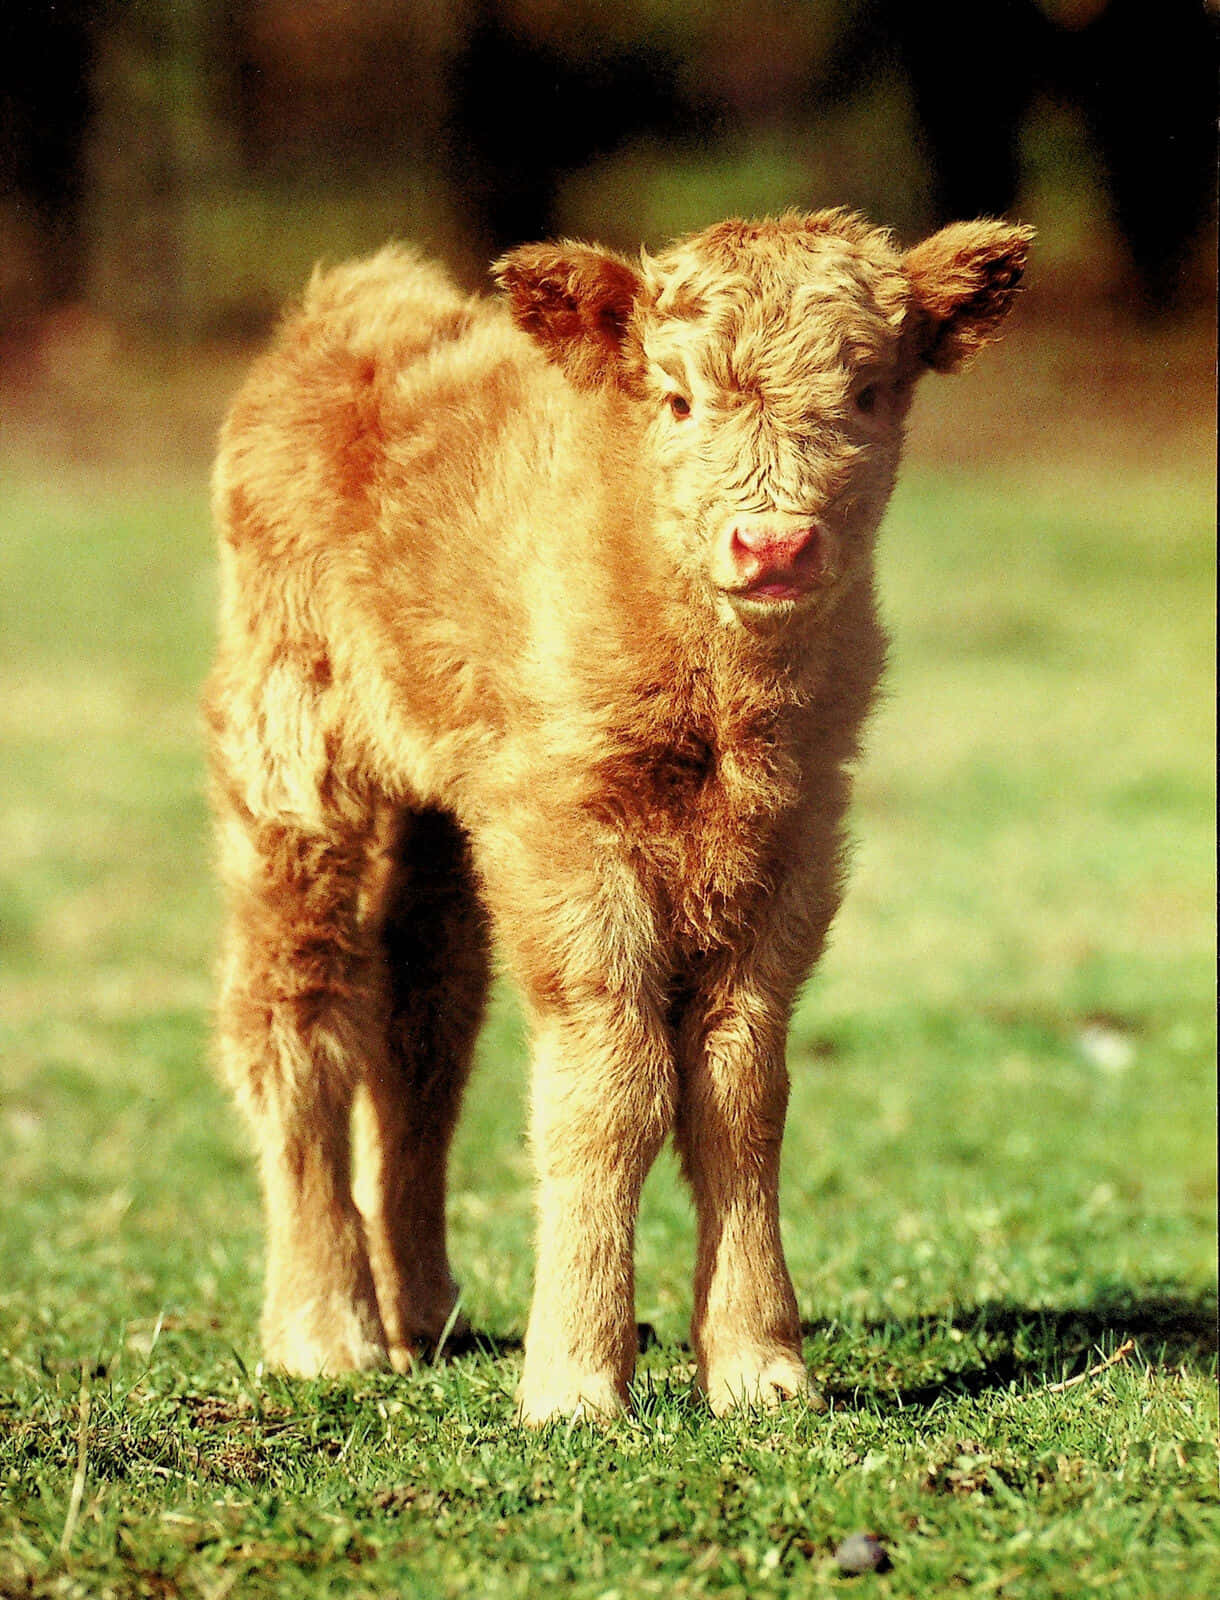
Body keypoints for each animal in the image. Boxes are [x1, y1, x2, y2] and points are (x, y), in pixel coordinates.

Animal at [204, 206, 1024, 1420]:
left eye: (870, 388)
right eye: (676, 396)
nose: (773, 546)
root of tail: (349, 307)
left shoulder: (793, 843)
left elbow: (739, 1091)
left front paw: (758, 1364)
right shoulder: (566, 843)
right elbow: (608, 1088)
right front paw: (577, 1380)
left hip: (434, 816)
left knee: (421, 1021)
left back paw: (423, 1309)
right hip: (291, 768)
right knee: (292, 1012)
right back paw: (326, 1329)